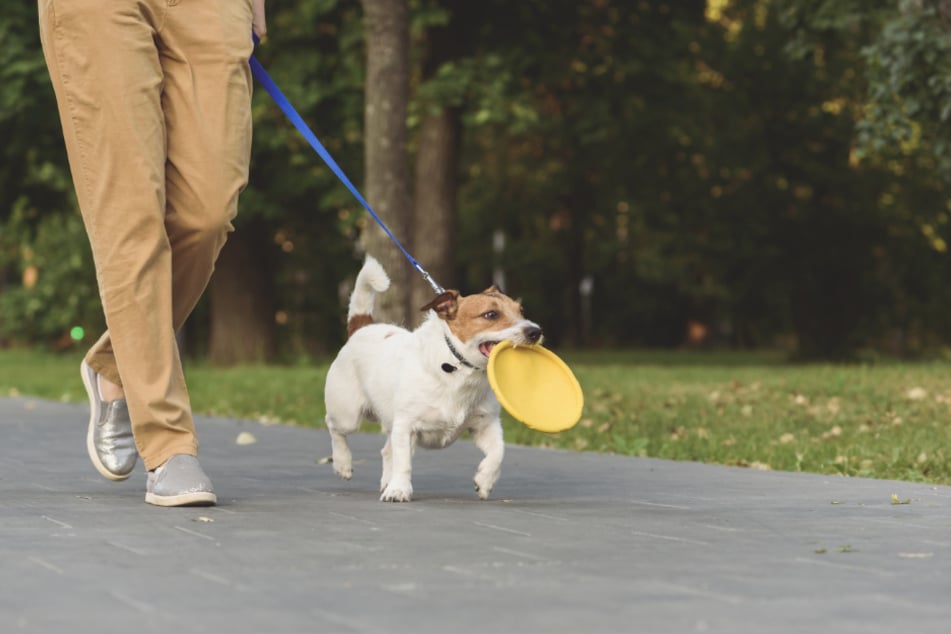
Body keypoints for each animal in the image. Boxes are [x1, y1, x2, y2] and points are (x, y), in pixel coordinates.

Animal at [324, 254, 544, 502]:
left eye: (521, 310)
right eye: (491, 314)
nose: (535, 331)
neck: (457, 368)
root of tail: (362, 328)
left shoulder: (486, 424)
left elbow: (498, 452)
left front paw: (485, 481)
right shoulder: (406, 426)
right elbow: (404, 464)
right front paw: (399, 489)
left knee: (387, 451)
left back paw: (386, 481)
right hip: (347, 414)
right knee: (335, 427)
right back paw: (343, 464)